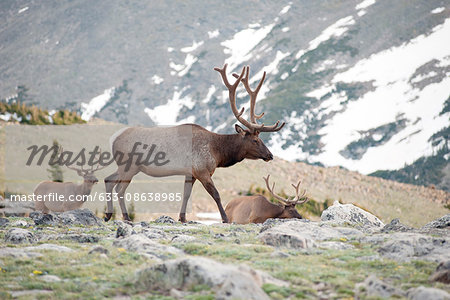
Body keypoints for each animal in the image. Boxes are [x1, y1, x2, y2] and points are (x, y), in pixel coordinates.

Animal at [104, 63, 284, 223]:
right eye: (255, 140)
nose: (270, 155)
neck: (218, 153)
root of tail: (113, 138)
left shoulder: (190, 173)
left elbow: (186, 194)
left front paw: (182, 218)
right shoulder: (202, 170)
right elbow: (216, 194)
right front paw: (225, 219)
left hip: (125, 166)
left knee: (108, 180)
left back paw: (108, 215)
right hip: (130, 166)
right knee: (119, 188)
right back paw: (126, 217)